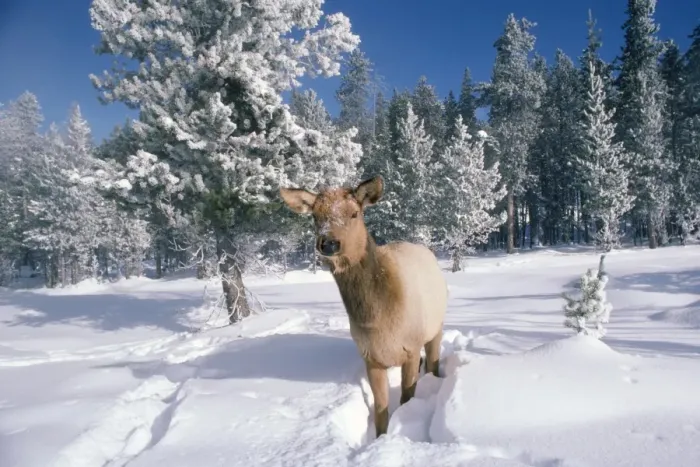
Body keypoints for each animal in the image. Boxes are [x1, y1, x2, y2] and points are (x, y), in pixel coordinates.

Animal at [279, 175, 448, 438]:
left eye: (354, 213)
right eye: (315, 216)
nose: (328, 243)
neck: (375, 320)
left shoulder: (410, 348)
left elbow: (406, 399)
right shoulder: (371, 358)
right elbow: (380, 409)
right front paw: (380, 438)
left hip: (436, 327)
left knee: (432, 362)